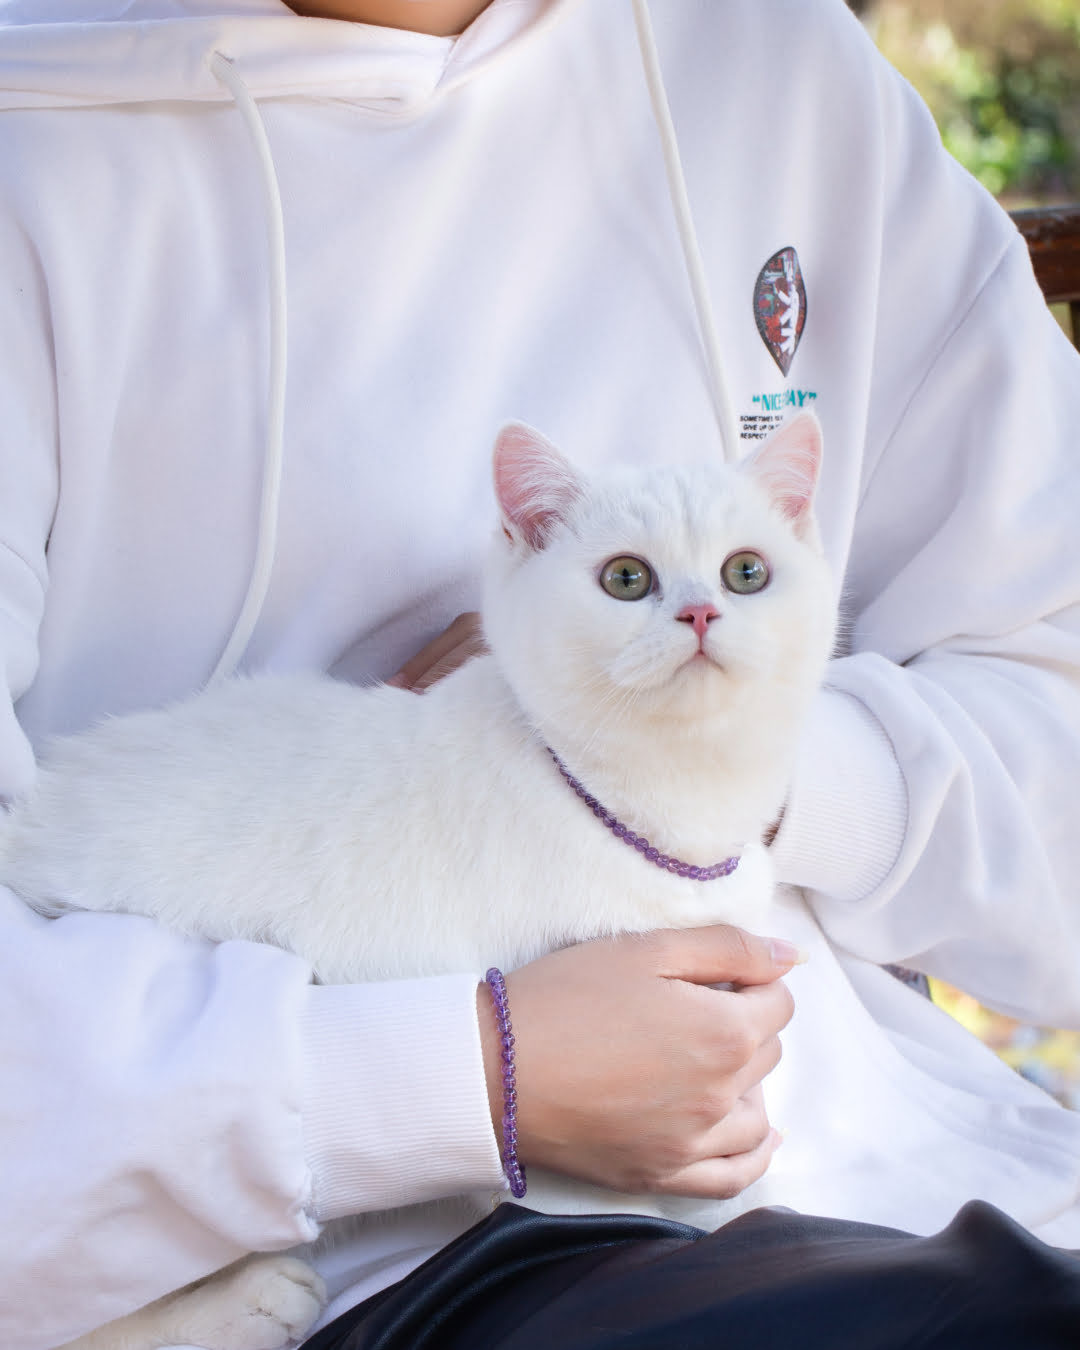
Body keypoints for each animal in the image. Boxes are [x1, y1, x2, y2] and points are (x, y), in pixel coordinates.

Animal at [4, 413, 831, 1350]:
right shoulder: (583, 1154)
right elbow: (655, 1215)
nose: (699, 610)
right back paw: (241, 1302)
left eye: (746, 571)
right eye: (627, 578)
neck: (659, 814)